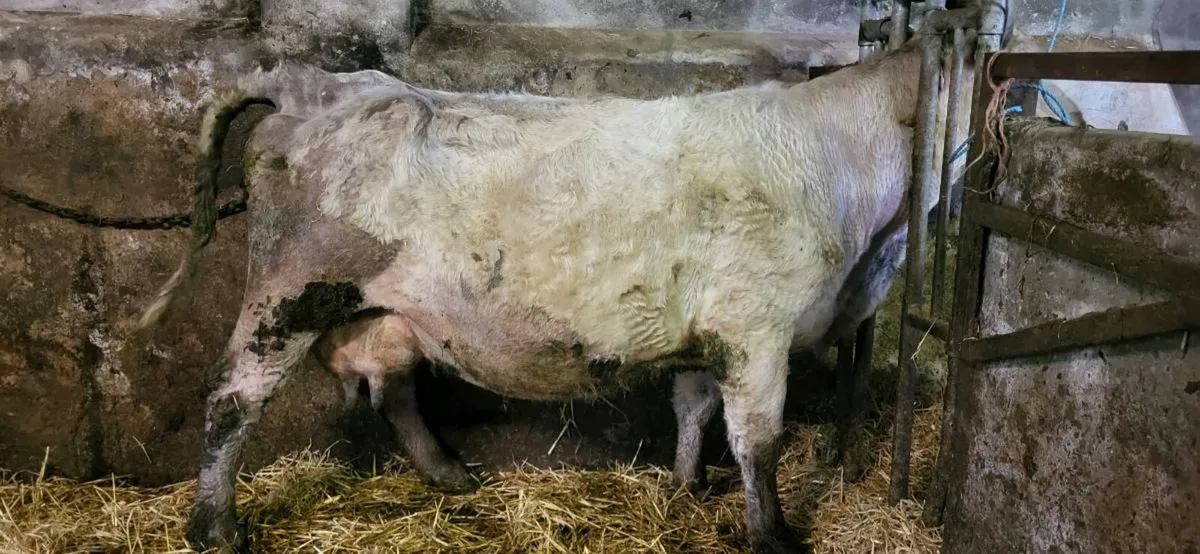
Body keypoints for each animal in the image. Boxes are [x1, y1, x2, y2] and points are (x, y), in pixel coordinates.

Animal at [139, 34, 963, 553]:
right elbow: (758, 439)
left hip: (382, 312)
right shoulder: (755, 325)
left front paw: (685, 487)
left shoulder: (710, 330)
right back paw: (214, 529)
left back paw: (450, 476)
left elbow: (694, 408)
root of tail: (320, 84)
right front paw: (776, 535)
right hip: (288, 294)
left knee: (395, 389)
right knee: (233, 400)